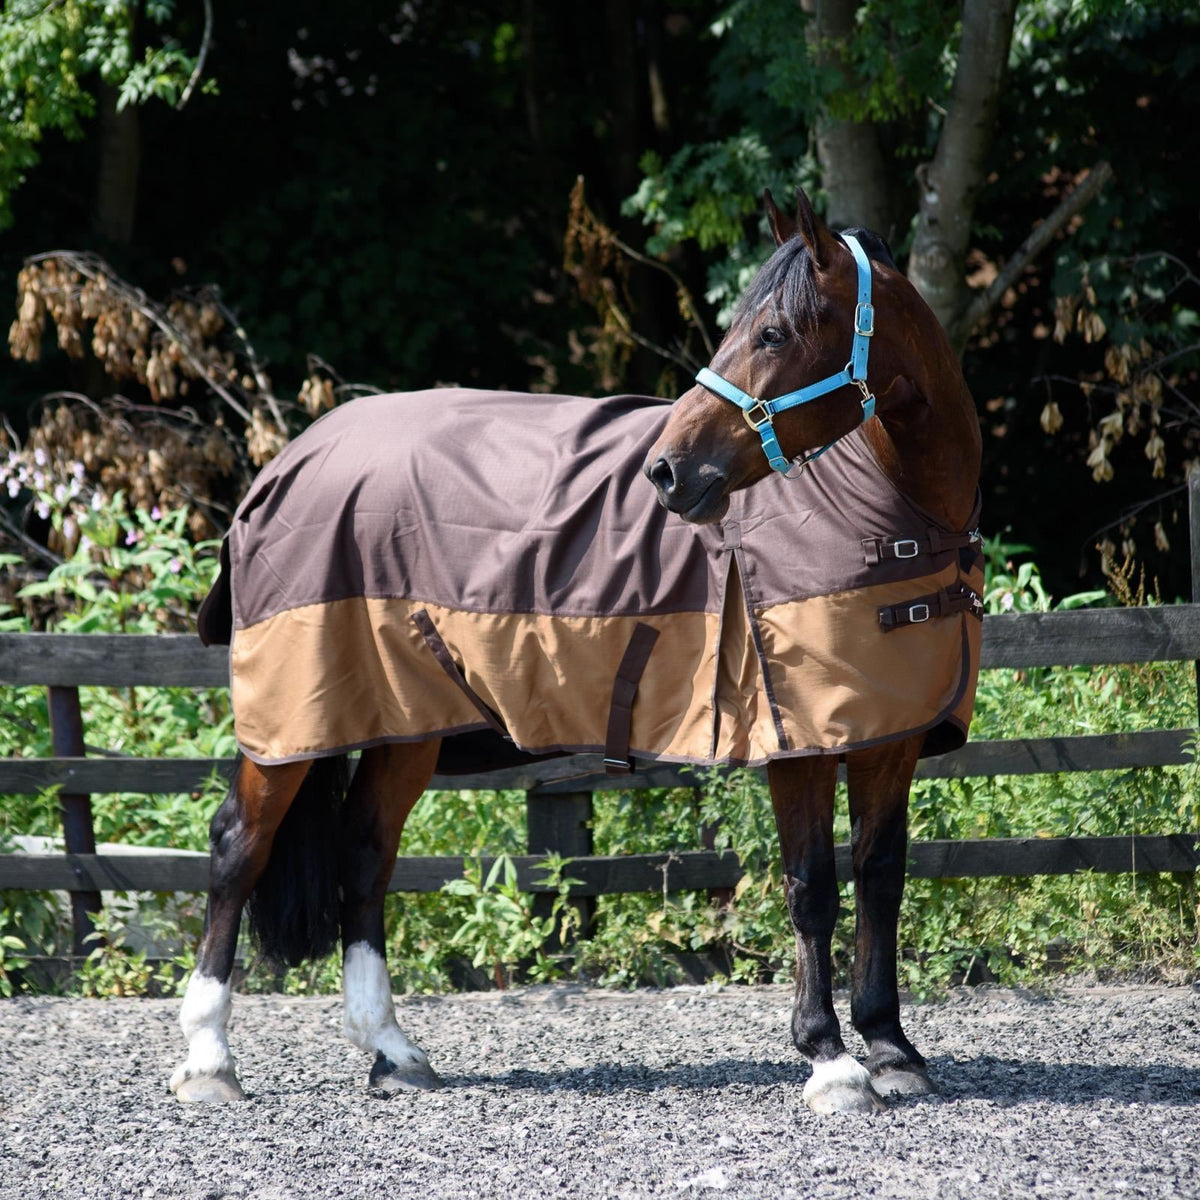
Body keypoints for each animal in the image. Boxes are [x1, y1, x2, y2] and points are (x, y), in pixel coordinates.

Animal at [170, 186, 982, 1115]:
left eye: (773, 333)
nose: (668, 472)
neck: (890, 515)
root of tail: (290, 460)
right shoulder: (799, 742)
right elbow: (811, 886)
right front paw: (831, 1061)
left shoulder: (890, 735)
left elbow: (881, 877)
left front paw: (891, 1048)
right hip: (293, 726)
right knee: (239, 847)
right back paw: (208, 1059)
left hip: (404, 723)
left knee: (365, 856)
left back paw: (393, 1052)